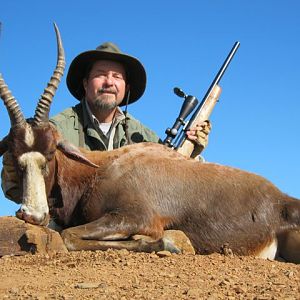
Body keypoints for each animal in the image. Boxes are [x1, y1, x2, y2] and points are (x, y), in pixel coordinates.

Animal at [0, 24, 300, 262]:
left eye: (51, 151)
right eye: (13, 154)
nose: (32, 215)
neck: (100, 170)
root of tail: (282, 200)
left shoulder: (137, 217)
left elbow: (71, 237)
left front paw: (168, 242)